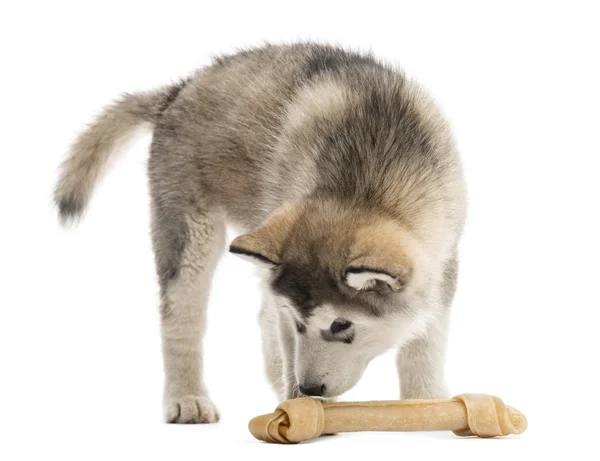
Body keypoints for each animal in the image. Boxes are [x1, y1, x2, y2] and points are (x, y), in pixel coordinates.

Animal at [54, 44, 466, 424]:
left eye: (341, 325)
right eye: (300, 323)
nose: (309, 388)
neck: (366, 187)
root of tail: (179, 89)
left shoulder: (443, 252)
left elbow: (428, 337)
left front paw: (427, 401)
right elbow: (285, 335)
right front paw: (301, 408)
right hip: (192, 231)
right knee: (181, 312)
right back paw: (188, 397)